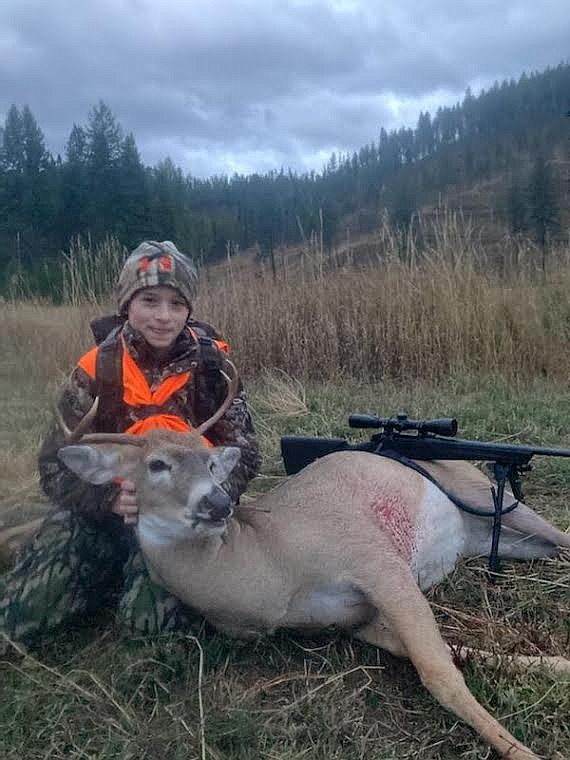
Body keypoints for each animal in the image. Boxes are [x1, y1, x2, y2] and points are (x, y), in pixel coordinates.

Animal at [2, 364, 564, 760]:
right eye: (157, 464)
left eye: (212, 460)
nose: (217, 503)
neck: (269, 568)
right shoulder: (354, 619)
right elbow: (448, 653)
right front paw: (558, 666)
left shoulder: (372, 555)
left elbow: (439, 673)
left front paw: (526, 752)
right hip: (484, 534)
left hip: (485, 495)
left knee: (562, 540)